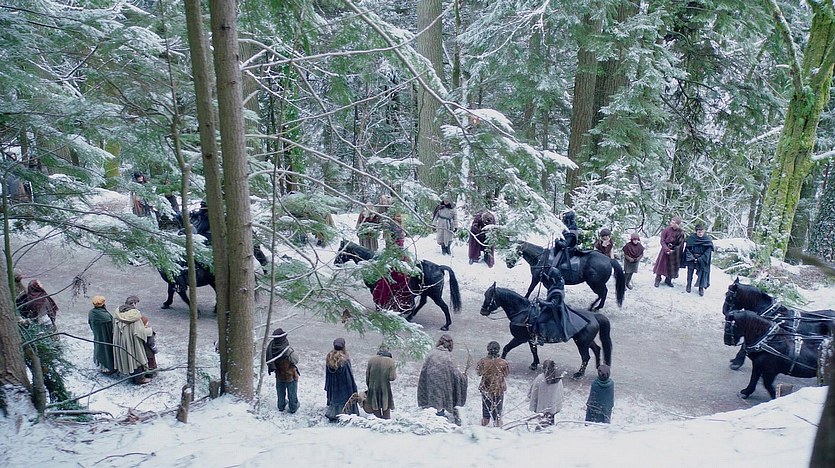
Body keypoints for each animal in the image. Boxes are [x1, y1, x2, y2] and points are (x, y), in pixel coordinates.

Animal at [334, 240, 462, 330]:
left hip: (434, 295)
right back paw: (409, 317)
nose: (335, 262)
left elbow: (378, 302)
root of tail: (439, 267)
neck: (372, 262)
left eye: (341, 250)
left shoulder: (376, 289)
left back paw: (446, 325)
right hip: (425, 292)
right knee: (422, 303)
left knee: (443, 306)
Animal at [479, 283, 612, 377]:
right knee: (597, 349)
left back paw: (580, 373)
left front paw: (501, 362)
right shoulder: (530, 338)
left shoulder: (520, 338)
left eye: (489, 296)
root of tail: (594, 316)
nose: (482, 311)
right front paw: (534, 364)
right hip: (586, 341)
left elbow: (507, 348)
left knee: (586, 357)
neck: (523, 312)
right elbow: (533, 350)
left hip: (582, 343)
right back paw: (598, 367)